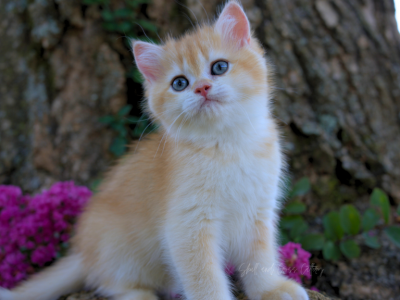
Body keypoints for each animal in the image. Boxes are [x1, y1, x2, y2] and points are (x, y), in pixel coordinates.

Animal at [0, 2, 310, 300]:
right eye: (180, 83)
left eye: (219, 67)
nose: (202, 87)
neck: (226, 145)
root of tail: (82, 253)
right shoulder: (186, 227)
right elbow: (204, 278)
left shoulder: (258, 213)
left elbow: (260, 259)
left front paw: (271, 289)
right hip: (120, 253)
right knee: (108, 283)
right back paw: (140, 295)